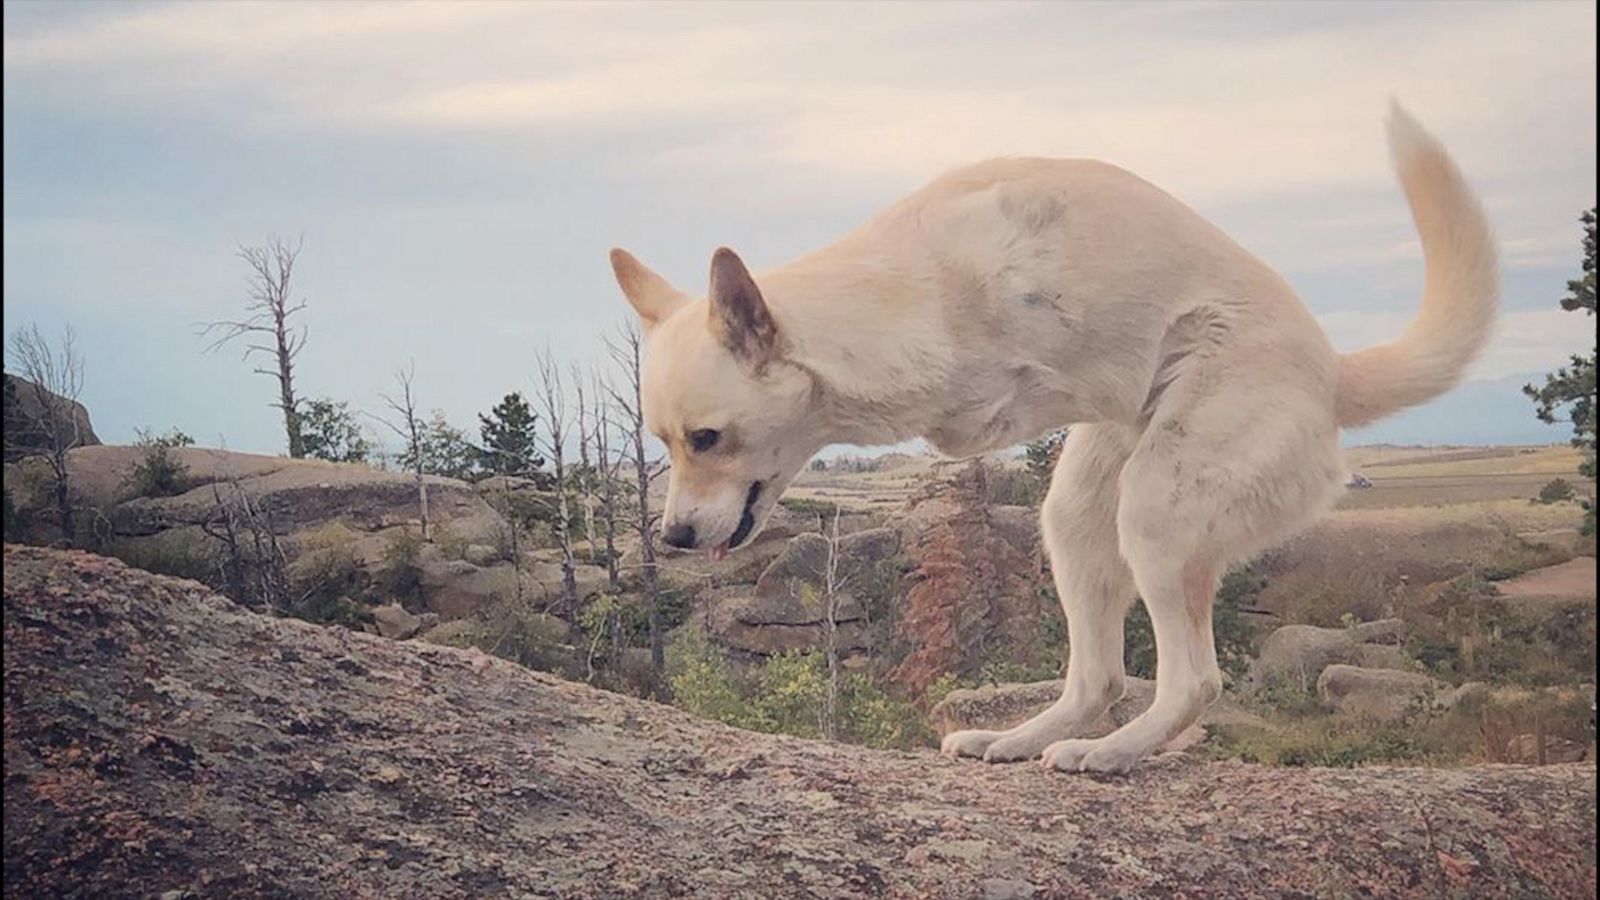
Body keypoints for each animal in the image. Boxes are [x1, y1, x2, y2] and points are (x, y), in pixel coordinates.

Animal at [604, 101, 1491, 768]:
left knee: (1193, 683)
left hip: (1157, 507)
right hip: (1077, 519)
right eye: (664, 442)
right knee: (1100, 678)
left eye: (706, 438)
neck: (908, 296)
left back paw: (1111, 754)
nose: (674, 537)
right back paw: (1023, 739)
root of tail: (1335, 371)